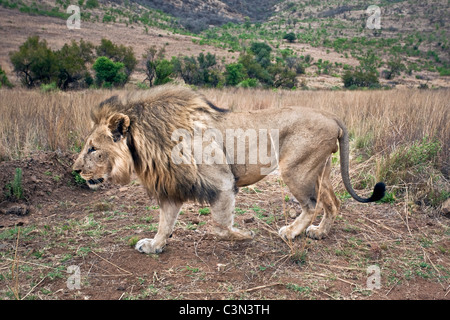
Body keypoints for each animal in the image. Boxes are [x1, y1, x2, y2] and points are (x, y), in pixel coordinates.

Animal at [72, 84, 384, 254]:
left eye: (92, 148)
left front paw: (245, 236)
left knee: (310, 204)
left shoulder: (221, 182)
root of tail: (331, 115)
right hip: (320, 171)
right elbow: (165, 223)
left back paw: (291, 232)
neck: (145, 143)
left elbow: (221, 226)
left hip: (296, 171)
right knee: (333, 203)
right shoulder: (173, 187)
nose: (75, 171)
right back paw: (319, 233)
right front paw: (154, 246)